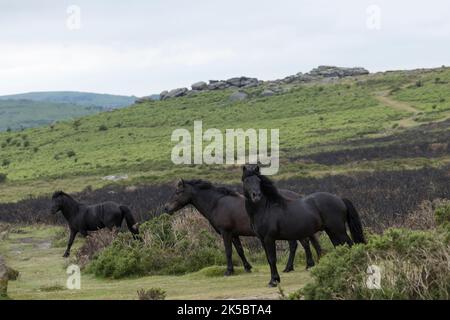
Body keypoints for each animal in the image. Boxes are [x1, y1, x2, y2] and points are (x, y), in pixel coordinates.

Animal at [163, 179, 322, 276]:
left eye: (178, 192)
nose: (166, 208)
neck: (216, 203)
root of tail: (298, 197)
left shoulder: (225, 233)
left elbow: (228, 251)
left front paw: (229, 271)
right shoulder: (234, 234)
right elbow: (239, 251)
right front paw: (247, 267)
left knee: (302, 244)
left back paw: (303, 266)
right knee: (301, 244)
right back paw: (298, 266)